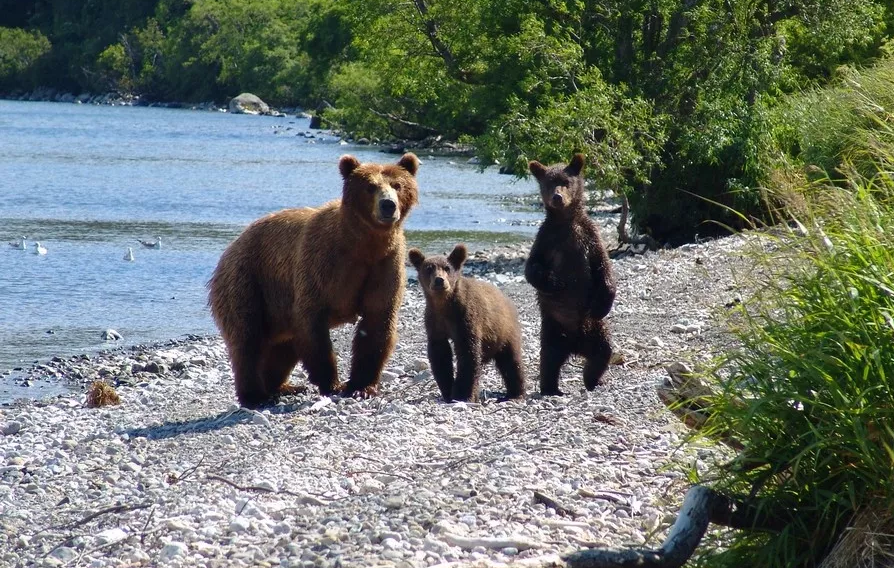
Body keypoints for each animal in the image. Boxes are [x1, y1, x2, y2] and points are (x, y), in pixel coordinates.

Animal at [208, 153, 422, 406]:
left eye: (397, 185)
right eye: (370, 186)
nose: (388, 205)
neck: (363, 245)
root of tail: (231, 246)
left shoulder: (384, 264)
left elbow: (377, 321)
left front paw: (361, 387)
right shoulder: (322, 264)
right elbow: (313, 324)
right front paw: (333, 383)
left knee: (282, 347)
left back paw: (283, 387)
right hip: (247, 280)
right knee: (247, 339)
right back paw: (255, 395)